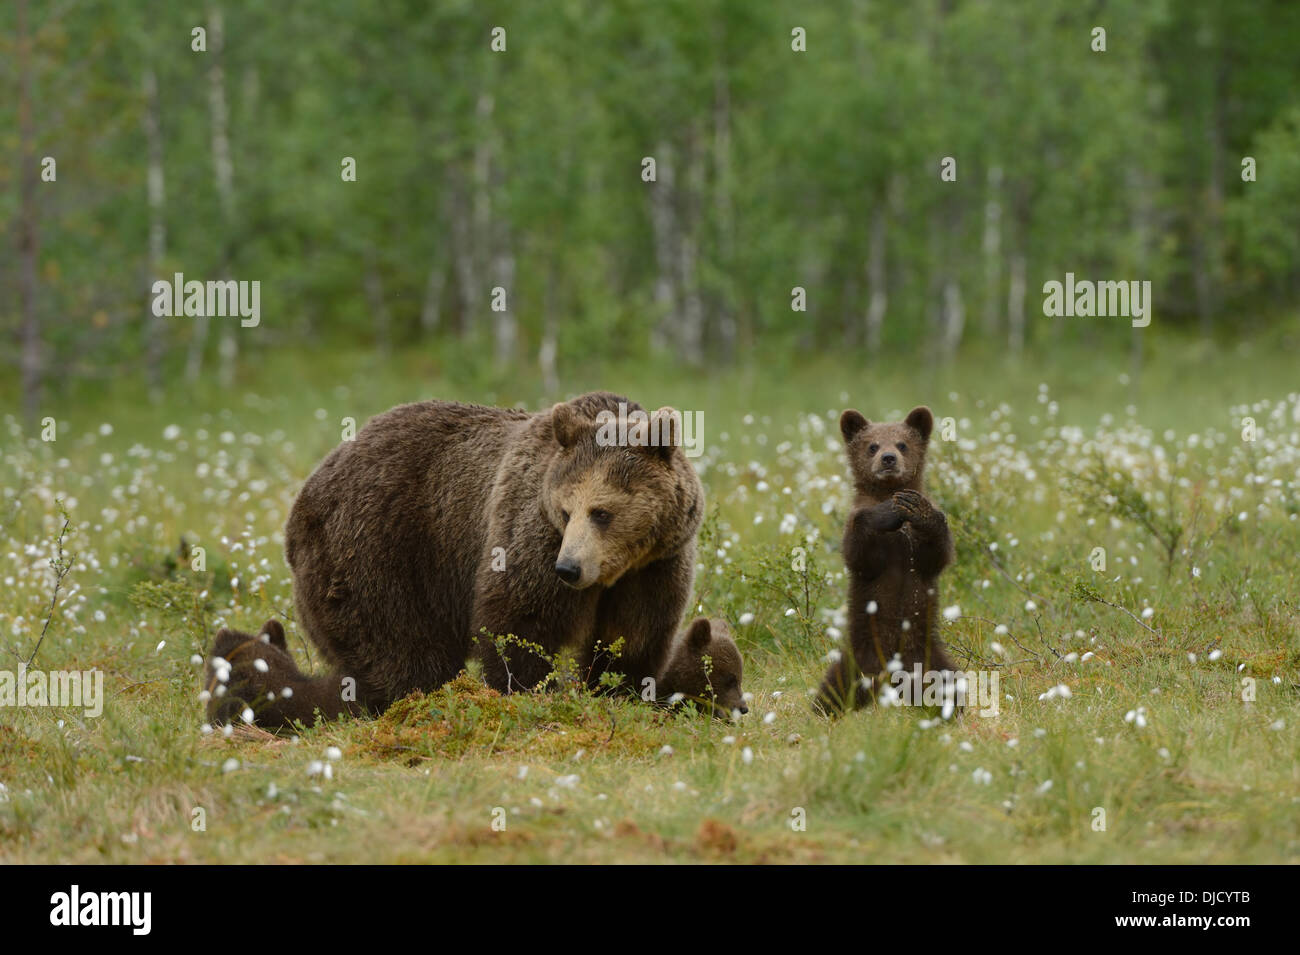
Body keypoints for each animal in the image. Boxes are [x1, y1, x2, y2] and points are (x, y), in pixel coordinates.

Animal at [814, 405, 958, 716]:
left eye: (902, 443)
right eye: (872, 445)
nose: (888, 458)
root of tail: (892, 677)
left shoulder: (917, 551)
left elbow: (937, 553)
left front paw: (918, 509)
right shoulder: (862, 533)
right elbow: (860, 554)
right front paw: (888, 510)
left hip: (927, 658)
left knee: (951, 684)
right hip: (858, 660)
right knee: (834, 689)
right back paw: (823, 710)